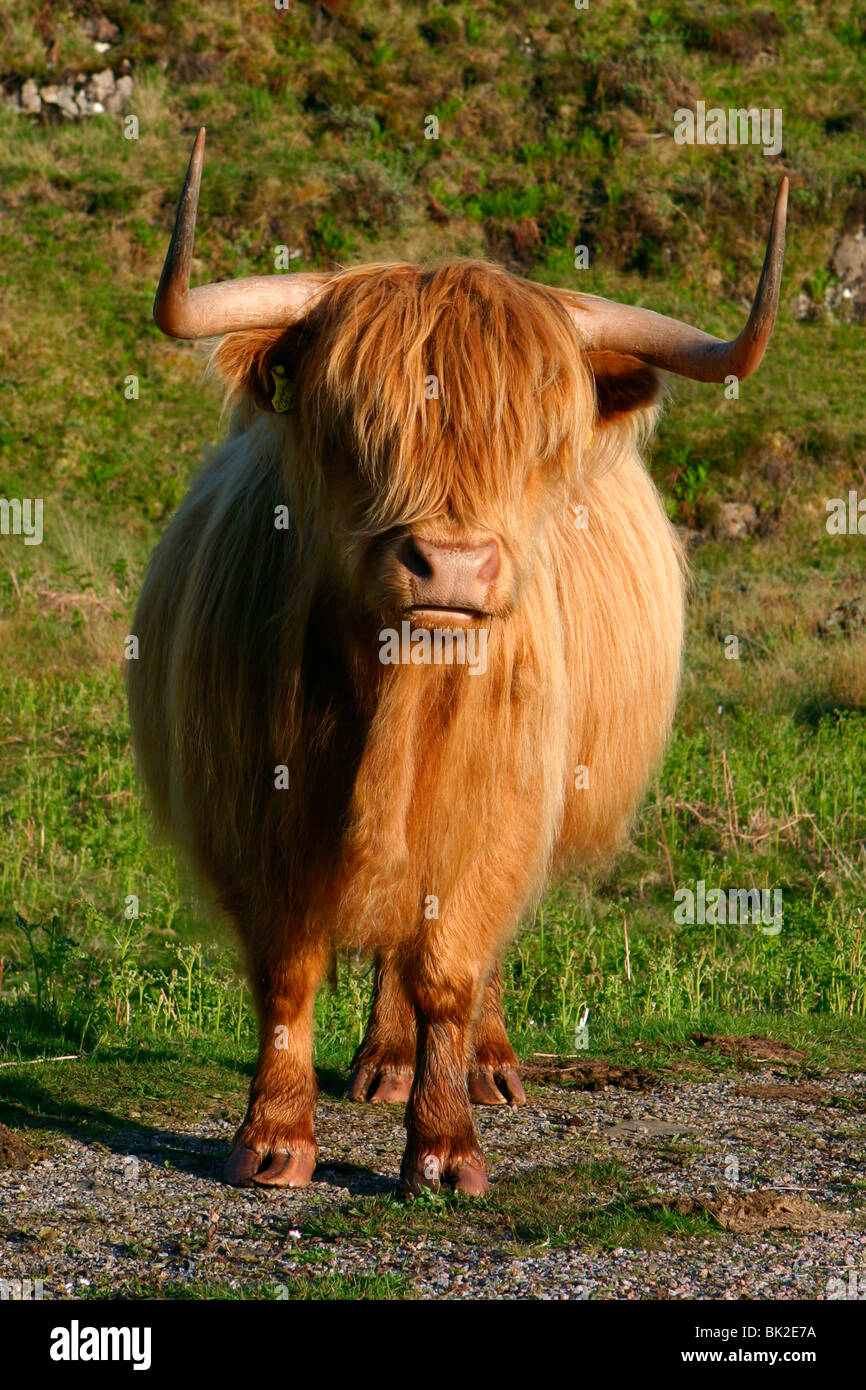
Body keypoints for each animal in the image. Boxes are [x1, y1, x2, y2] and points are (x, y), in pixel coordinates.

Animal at [127, 132, 783, 1195]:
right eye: (353, 426)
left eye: (540, 442)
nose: (453, 564)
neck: (397, 697)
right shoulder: (253, 808)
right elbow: (287, 968)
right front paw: (274, 1137)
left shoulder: (500, 804)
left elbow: (449, 965)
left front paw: (442, 1147)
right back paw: (382, 1062)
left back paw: (486, 1066)